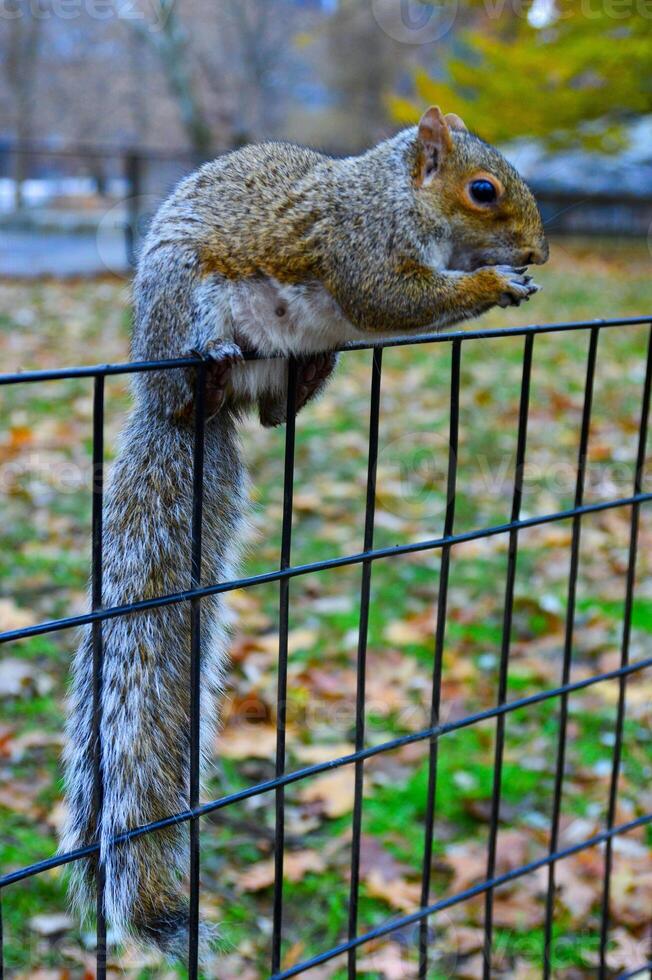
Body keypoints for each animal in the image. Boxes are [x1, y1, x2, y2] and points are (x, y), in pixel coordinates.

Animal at [61, 106, 548, 961]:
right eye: (484, 191)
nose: (538, 251)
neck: (396, 196)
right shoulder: (359, 245)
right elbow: (389, 298)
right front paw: (492, 285)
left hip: (286, 364)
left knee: (273, 414)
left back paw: (305, 378)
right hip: (184, 306)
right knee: (194, 386)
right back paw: (207, 369)